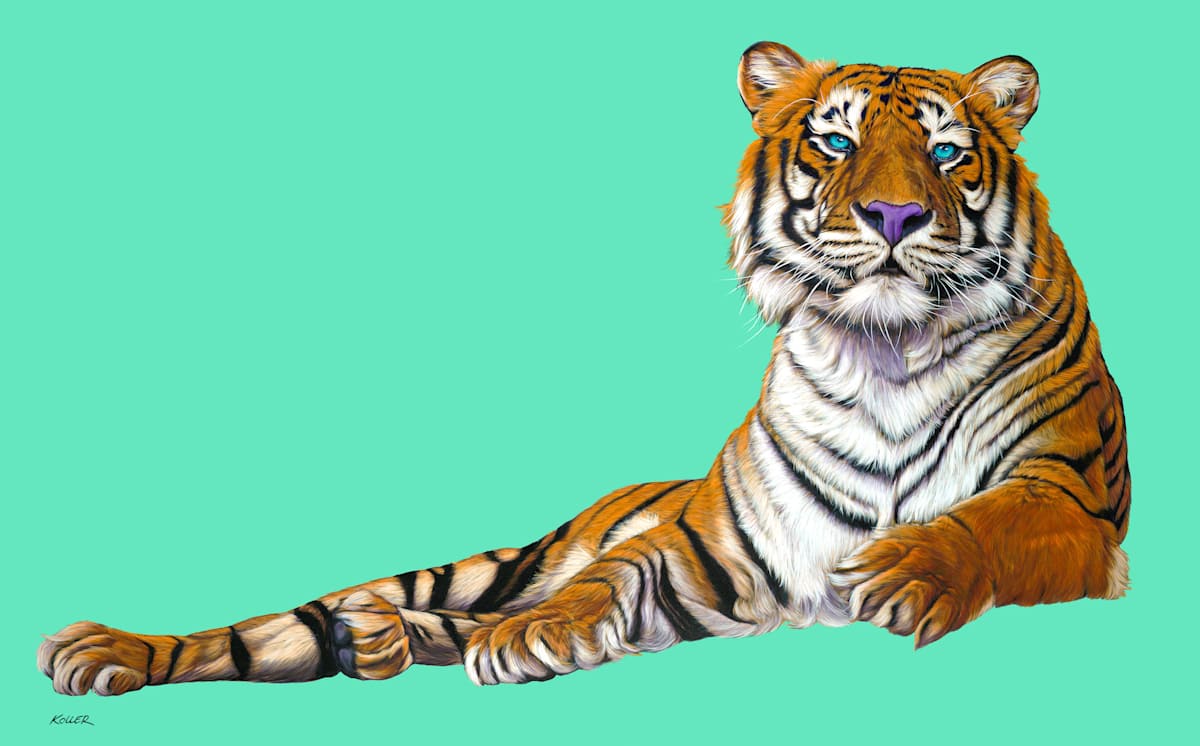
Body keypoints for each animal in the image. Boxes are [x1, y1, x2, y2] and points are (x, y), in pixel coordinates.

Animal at [39, 42, 1130, 696]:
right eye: (834, 140)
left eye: (945, 155)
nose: (895, 216)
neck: (884, 352)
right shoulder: (708, 544)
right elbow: (613, 572)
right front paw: (538, 635)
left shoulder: (1066, 498)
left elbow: (987, 521)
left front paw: (907, 567)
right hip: (486, 562)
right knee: (274, 628)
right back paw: (118, 649)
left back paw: (385, 640)